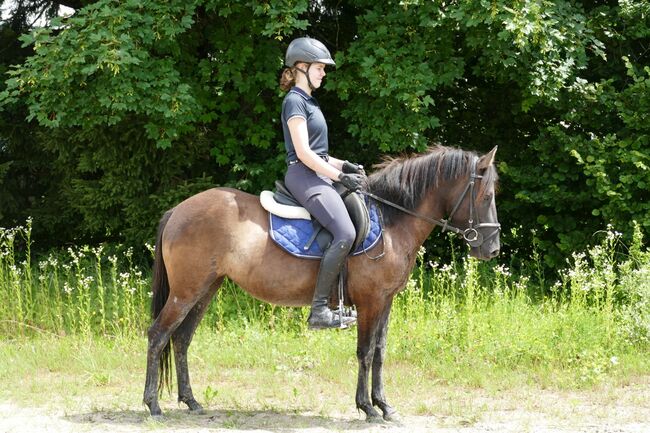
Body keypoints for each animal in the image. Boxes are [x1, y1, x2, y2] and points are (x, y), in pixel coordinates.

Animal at [142, 143, 498, 420]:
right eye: (487, 195)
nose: (492, 249)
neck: (391, 221)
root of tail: (178, 210)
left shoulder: (385, 301)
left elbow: (380, 352)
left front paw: (385, 406)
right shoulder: (370, 302)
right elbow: (365, 351)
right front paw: (367, 408)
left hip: (205, 289)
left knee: (181, 340)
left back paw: (191, 402)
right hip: (186, 292)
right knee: (159, 335)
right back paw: (153, 405)